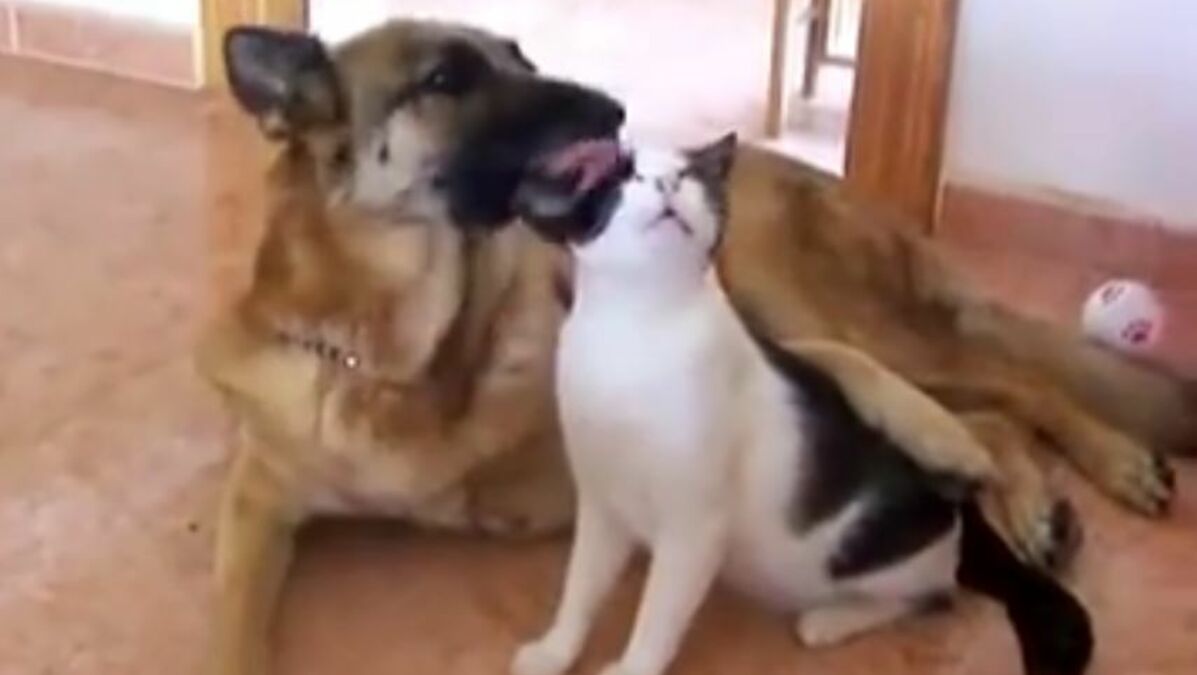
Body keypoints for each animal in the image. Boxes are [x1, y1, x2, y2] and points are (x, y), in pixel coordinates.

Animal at [509, 133, 1091, 675]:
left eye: (688, 176)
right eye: (622, 176)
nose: (668, 184)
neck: (637, 327)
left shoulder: (693, 529)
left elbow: (656, 619)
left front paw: (629, 668)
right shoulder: (601, 508)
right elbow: (580, 591)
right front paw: (553, 651)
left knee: (938, 581)